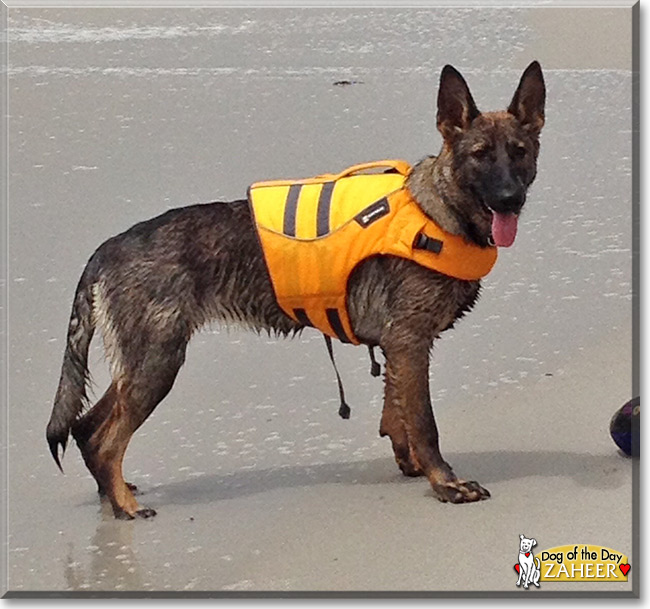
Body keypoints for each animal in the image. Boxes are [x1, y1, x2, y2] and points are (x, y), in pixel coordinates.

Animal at [46, 60, 540, 516]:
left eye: (520, 152)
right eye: (480, 154)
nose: (510, 199)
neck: (437, 211)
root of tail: (108, 248)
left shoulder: (398, 348)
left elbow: (396, 414)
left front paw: (411, 464)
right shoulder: (409, 342)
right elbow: (424, 423)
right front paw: (445, 483)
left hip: (140, 365)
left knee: (88, 429)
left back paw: (114, 495)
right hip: (157, 364)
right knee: (107, 439)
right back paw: (125, 506)